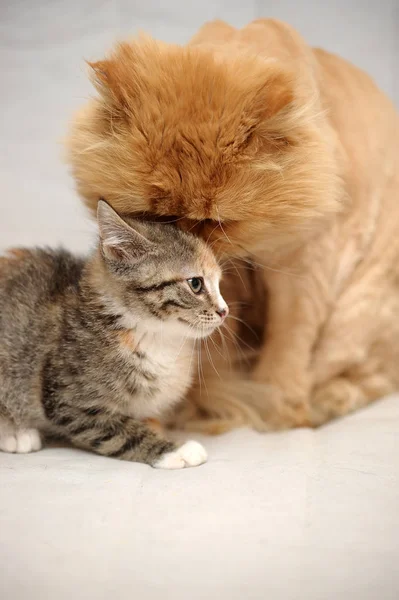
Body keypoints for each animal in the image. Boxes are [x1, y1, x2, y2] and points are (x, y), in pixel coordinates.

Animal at [0, 202, 228, 468]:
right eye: (195, 284)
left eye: (219, 283)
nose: (225, 311)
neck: (157, 338)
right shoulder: (68, 399)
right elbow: (120, 431)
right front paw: (174, 450)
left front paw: (157, 428)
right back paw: (16, 433)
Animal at [67, 18, 399, 432]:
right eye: (158, 215)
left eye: (214, 221)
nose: (184, 240)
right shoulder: (231, 283)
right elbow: (214, 343)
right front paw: (209, 403)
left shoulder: (304, 270)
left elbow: (287, 350)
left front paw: (278, 412)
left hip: (357, 311)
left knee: (371, 374)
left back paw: (322, 404)